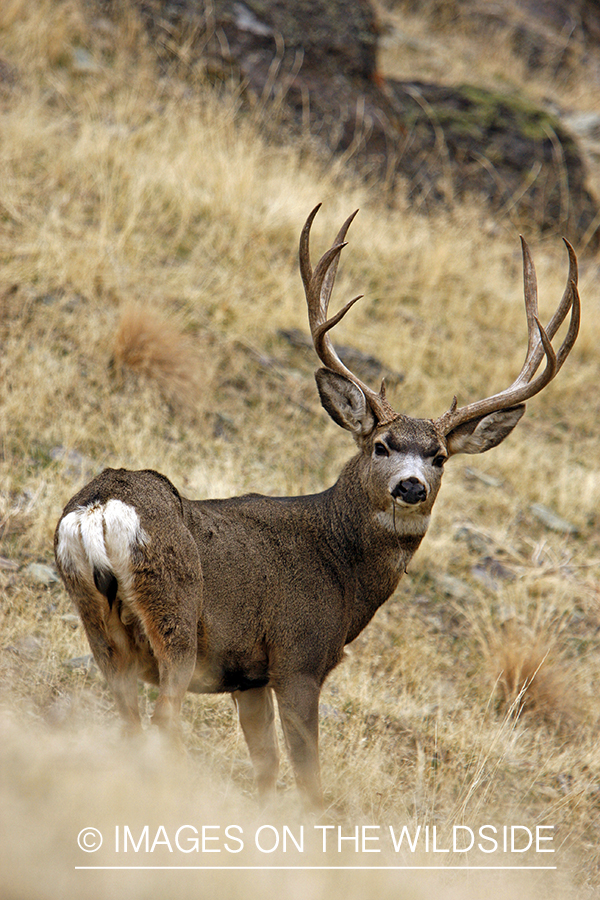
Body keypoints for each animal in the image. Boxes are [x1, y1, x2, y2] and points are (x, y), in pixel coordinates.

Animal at [54, 204, 580, 812]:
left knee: (128, 721)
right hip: (176, 616)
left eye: (440, 456)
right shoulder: (298, 657)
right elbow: (309, 776)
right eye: (382, 445)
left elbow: (265, 766)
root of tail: (99, 507)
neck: (341, 565)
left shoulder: (248, 676)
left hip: (96, 621)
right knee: (163, 721)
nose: (411, 487)